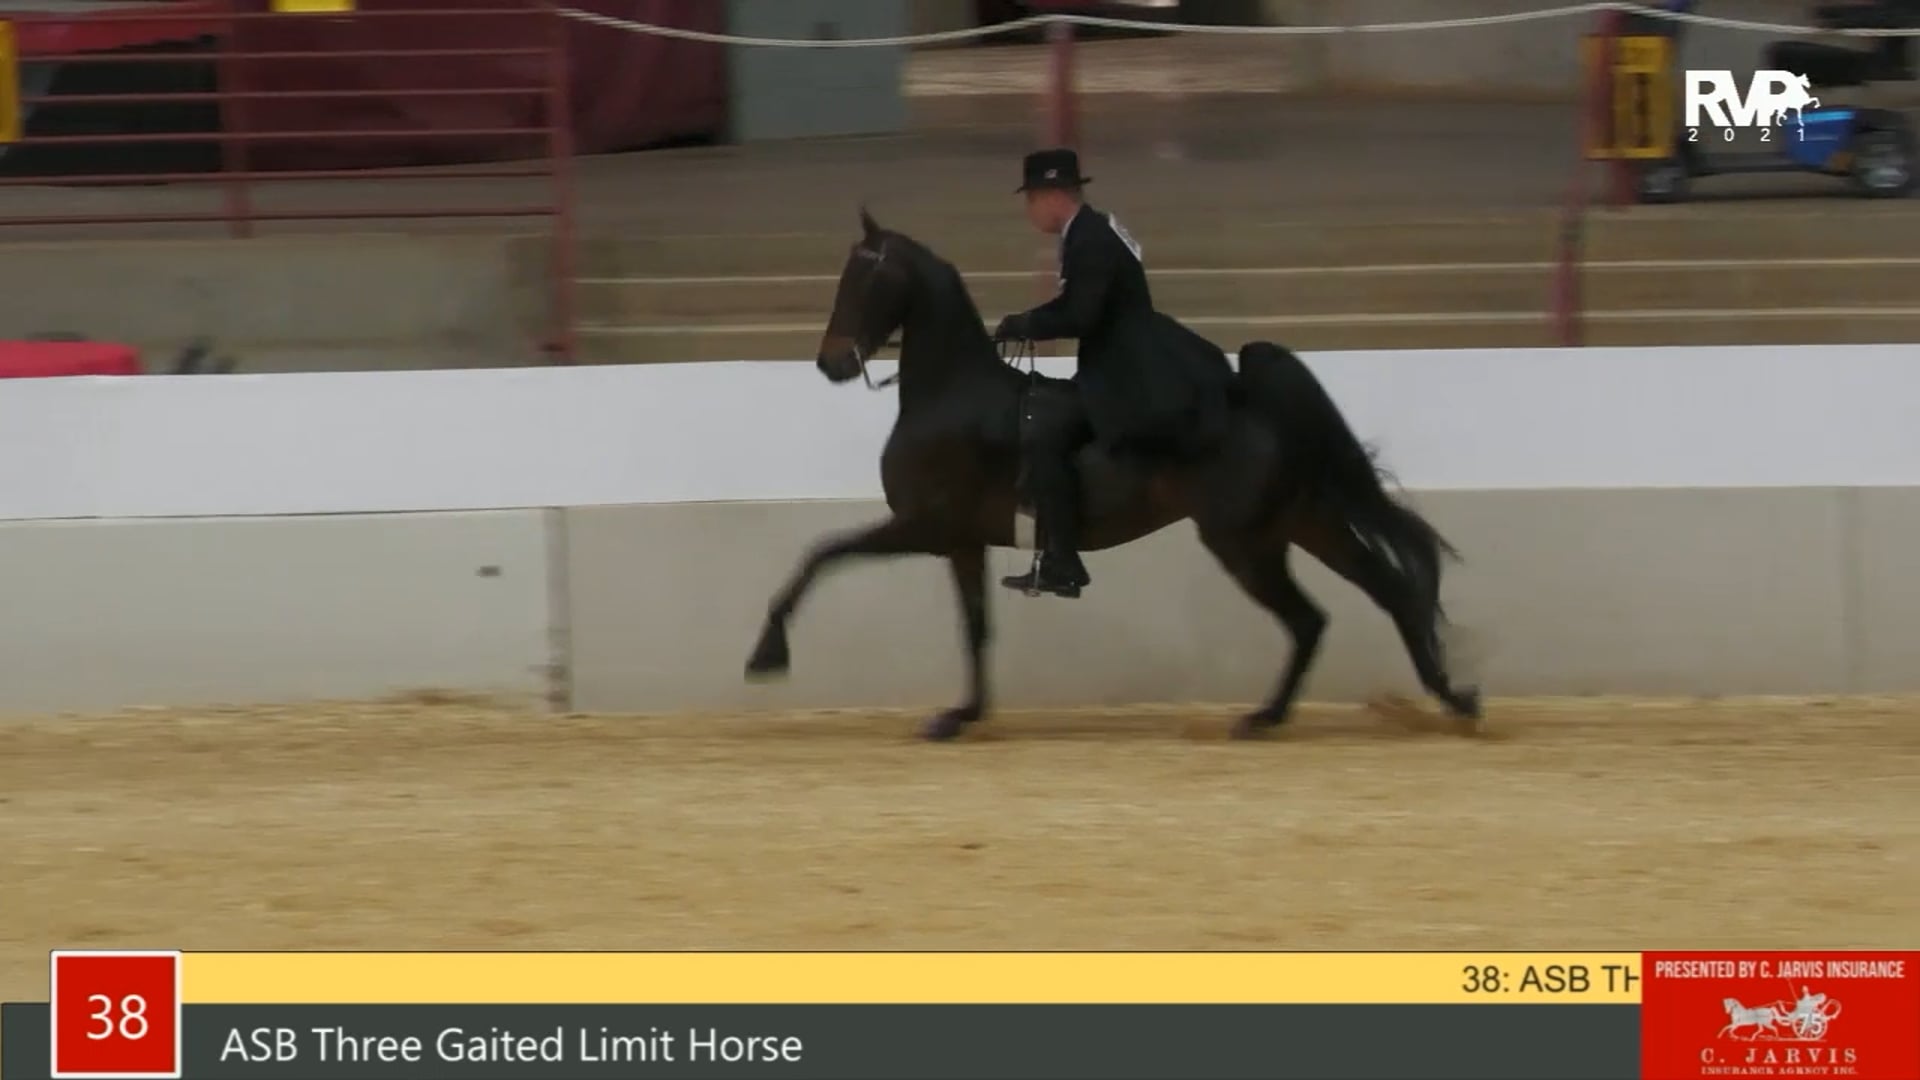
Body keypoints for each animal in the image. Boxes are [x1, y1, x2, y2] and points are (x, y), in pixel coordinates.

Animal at [743, 209, 1481, 741]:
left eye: (863, 279)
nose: (831, 362)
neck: (950, 394)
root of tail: (1254, 401)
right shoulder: (961, 542)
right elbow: (975, 627)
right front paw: (961, 715)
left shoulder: (924, 527)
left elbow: (822, 554)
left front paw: (767, 653)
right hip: (1307, 523)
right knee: (1384, 593)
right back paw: (1447, 698)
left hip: (1246, 543)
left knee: (1311, 618)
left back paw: (1268, 719)